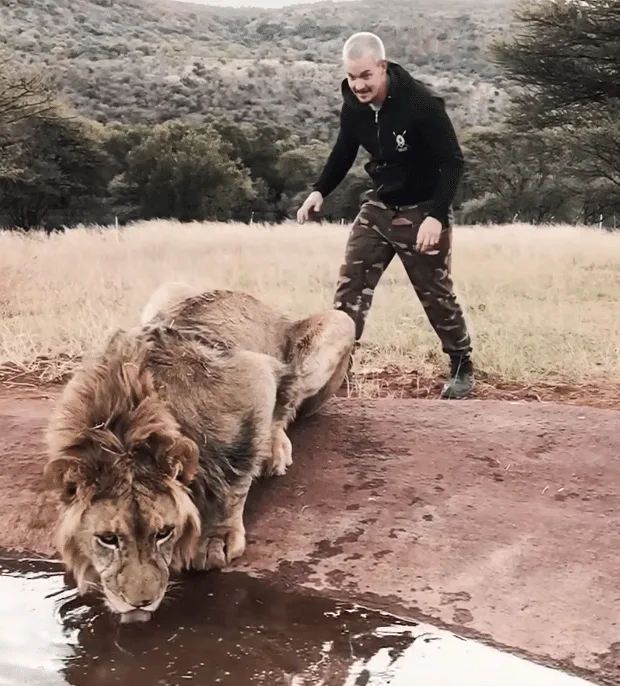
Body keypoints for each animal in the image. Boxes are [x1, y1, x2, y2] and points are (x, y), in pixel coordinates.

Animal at [42, 282, 354, 628]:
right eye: (108, 539)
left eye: (164, 533)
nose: (141, 603)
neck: (122, 425)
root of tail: (246, 295)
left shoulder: (254, 375)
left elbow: (235, 473)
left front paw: (217, 538)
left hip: (340, 323)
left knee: (289, 402)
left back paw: (275, 450)